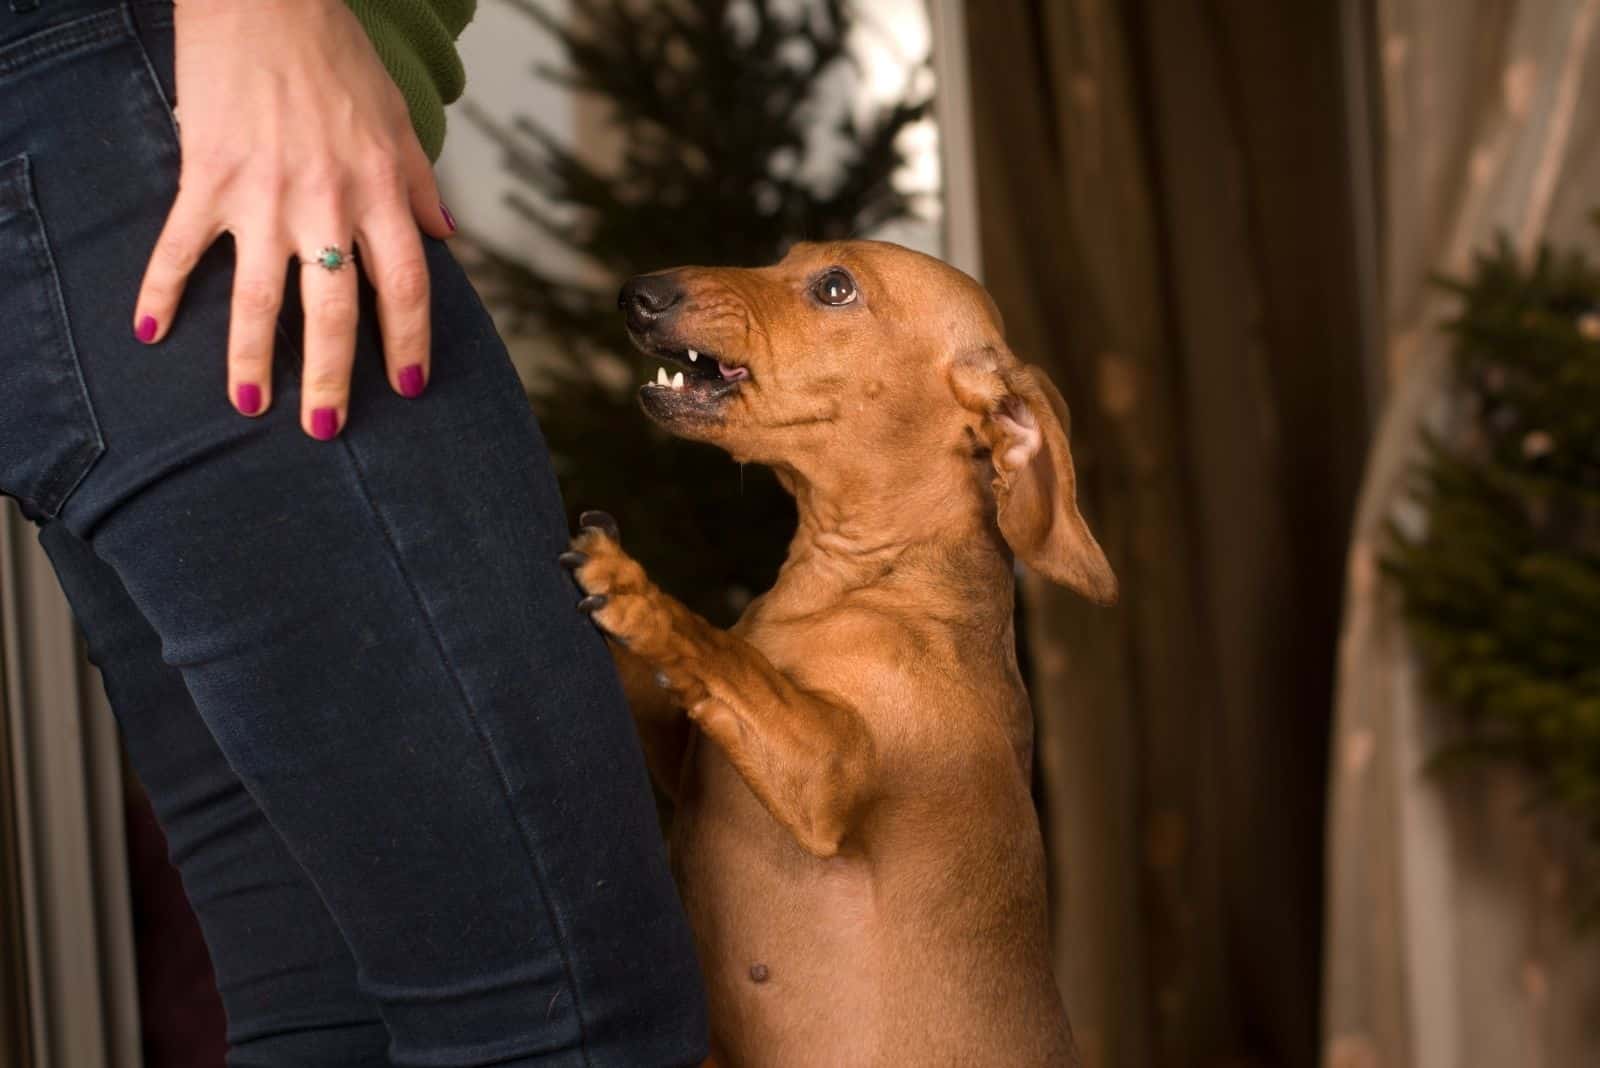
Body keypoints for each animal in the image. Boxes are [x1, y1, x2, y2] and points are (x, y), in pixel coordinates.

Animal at [569, 241, 1120, 1068]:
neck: (868, 580)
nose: (640, 293)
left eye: (835, 287)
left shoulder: (825, 771)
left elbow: (725, 654)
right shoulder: (689, 749)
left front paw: (634, 589)